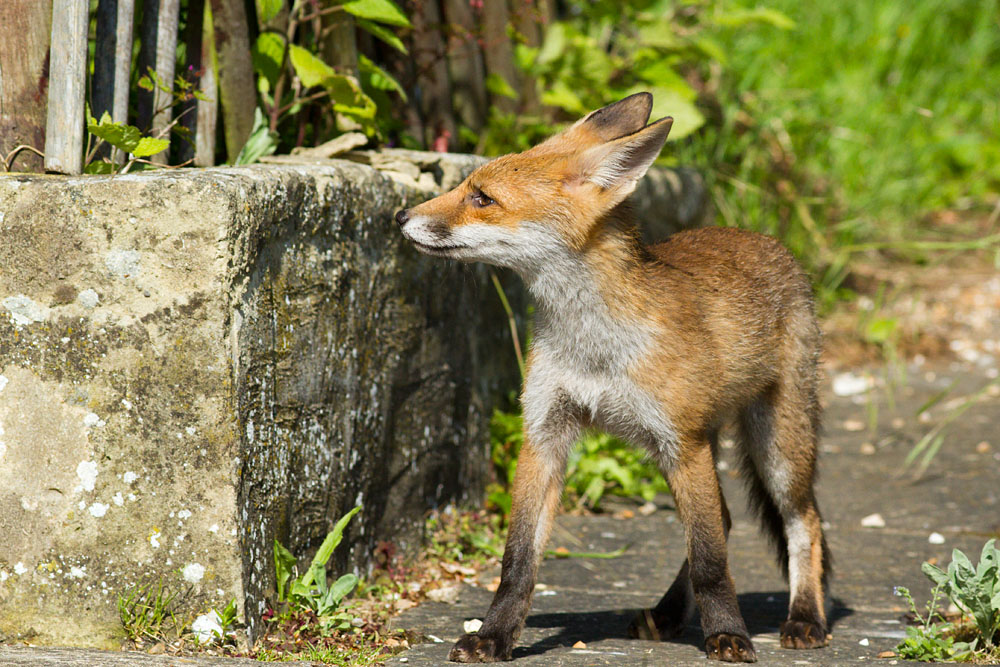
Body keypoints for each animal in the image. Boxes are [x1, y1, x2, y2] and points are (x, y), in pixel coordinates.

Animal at [395, 92, 832, 663]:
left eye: (482, 198)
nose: (399, 215)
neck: (592, 348)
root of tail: (764, 240)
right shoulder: (545, 434)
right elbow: (518, 561)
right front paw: (494, 635)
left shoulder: (683, 442)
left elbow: (711, 562)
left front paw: (727, 635)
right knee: (726, 520)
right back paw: (666, 615)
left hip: (774, 446)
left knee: (803, 523)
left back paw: (805, 617)